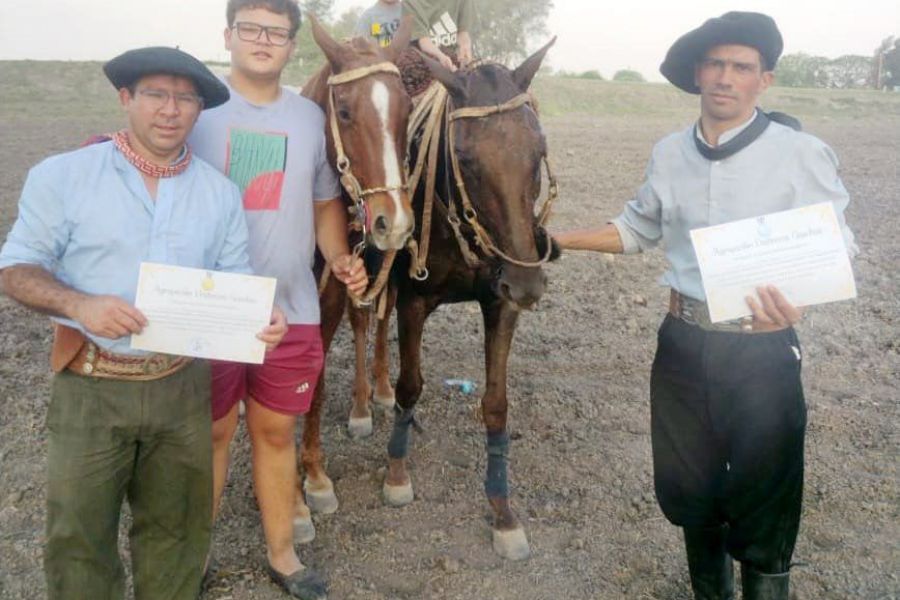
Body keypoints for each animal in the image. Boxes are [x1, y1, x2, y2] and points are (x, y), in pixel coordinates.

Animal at [374, 43, 564, 564]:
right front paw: (396, 472)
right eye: (462, 155)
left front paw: (503, 512)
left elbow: (496, 404)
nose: (527, 282)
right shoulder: (413, 300)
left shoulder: (502, 304)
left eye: (539, 149)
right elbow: (411, 385)